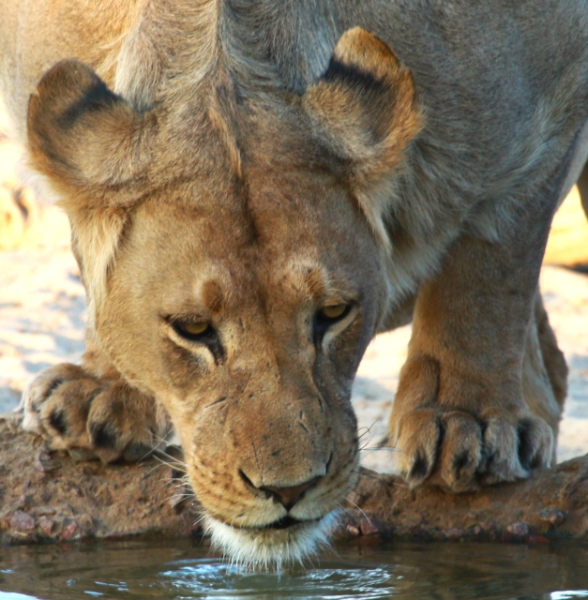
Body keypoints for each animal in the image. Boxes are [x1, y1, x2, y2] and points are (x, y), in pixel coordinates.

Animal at [1, 0, 586, 567]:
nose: (288, 492)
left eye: (333, 313)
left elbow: (488, 273)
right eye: (193, 328)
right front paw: (103, 390)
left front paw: (465, 422)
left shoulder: (546, 117)